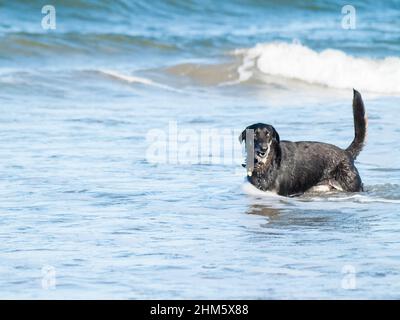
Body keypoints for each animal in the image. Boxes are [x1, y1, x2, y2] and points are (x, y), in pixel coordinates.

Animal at [239, 89, 368, 196]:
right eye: (254, 135)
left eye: (268, 134)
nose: (263, 149)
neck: (267, 163)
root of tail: (347, 153)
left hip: (351, 185)